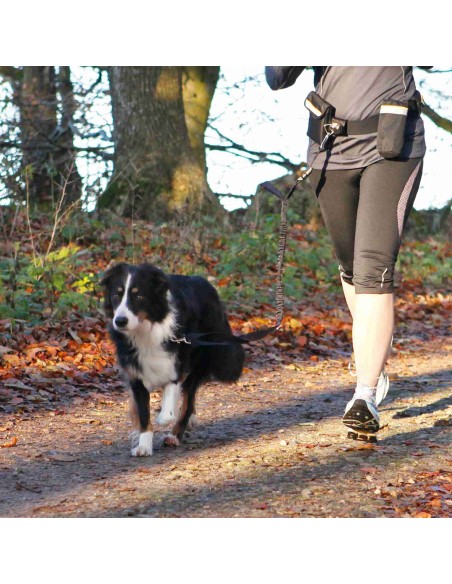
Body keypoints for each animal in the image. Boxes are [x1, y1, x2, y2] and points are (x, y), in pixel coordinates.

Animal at [101, 262, 245, 458]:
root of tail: (204, 282)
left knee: (188, 401)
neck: (145, 330)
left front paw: (165, 418)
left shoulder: (177, 366)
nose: (120, 321)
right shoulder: (135, 374)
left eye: (139, 295)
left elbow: (168, 410)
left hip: (200, 361)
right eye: (116, 295)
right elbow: (143, 413)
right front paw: (144, 445)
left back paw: (175, 435)